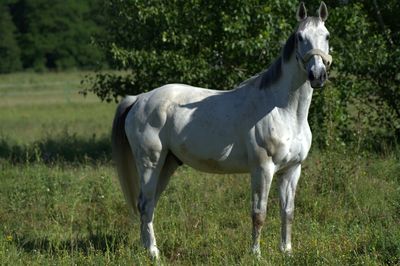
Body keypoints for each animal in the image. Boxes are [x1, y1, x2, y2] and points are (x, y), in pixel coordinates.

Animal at [111, 1, 332, 260]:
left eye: (326, 36)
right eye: (300, 37)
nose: (317, 75)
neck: (283, 111)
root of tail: (139, 99)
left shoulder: (291, 170)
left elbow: (287, 212)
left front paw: (286, 252)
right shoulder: (263, 169)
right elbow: (259, 213)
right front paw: (256, 255)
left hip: (167, 164)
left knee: (149, 204)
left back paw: (147, 249)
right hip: (150, 163)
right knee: (145, 205)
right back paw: (154, 253)